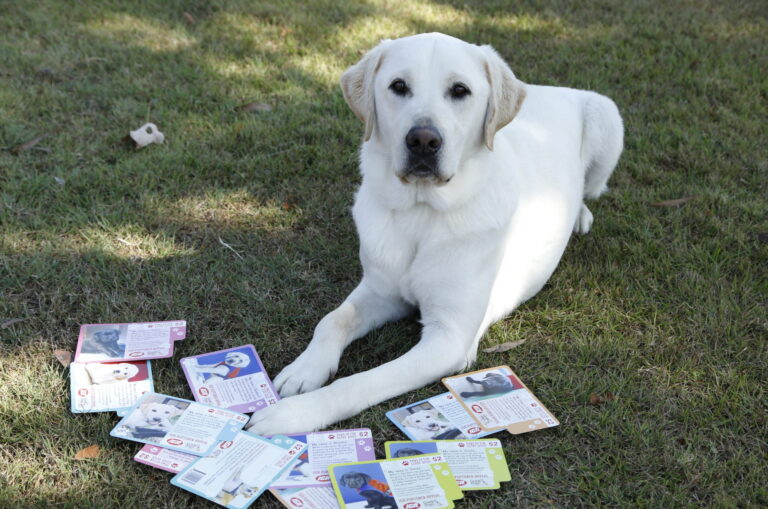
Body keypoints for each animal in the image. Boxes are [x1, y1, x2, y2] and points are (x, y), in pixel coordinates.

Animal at [248, 32, 624, 432]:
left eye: (460, 90)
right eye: (399, 86)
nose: (423, 141)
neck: (422, 212)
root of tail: (549, 89)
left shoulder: (449, 337)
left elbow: (361, 380)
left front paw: (294, 414)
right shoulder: (382, 290)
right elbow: (334, 320)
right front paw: (304, 369)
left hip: (607, 116)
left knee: (591, 188)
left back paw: (579, 216)